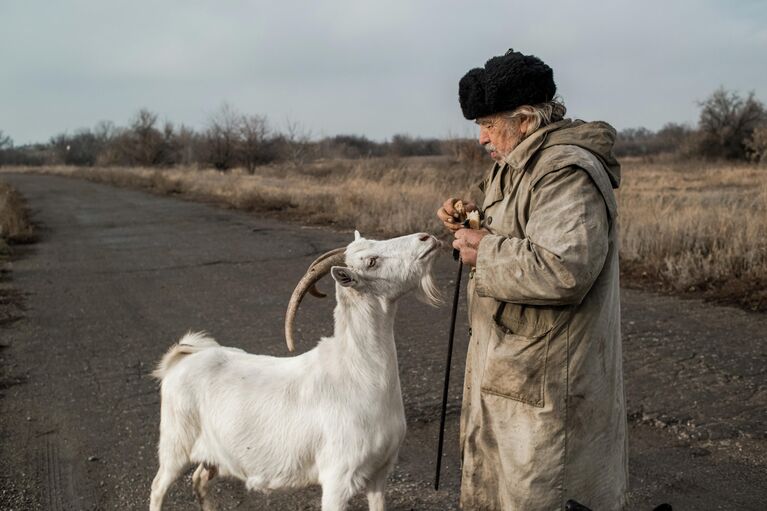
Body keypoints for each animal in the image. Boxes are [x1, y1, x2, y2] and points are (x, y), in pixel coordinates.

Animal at [150, 233, 440, 511]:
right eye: (371, 261)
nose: (426, 238)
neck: (358, 373)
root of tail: (185, 357)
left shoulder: (379, 473)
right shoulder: (338, 479)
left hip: (214, 456)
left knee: (199, 479)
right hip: (175, 446)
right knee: (158, 487)